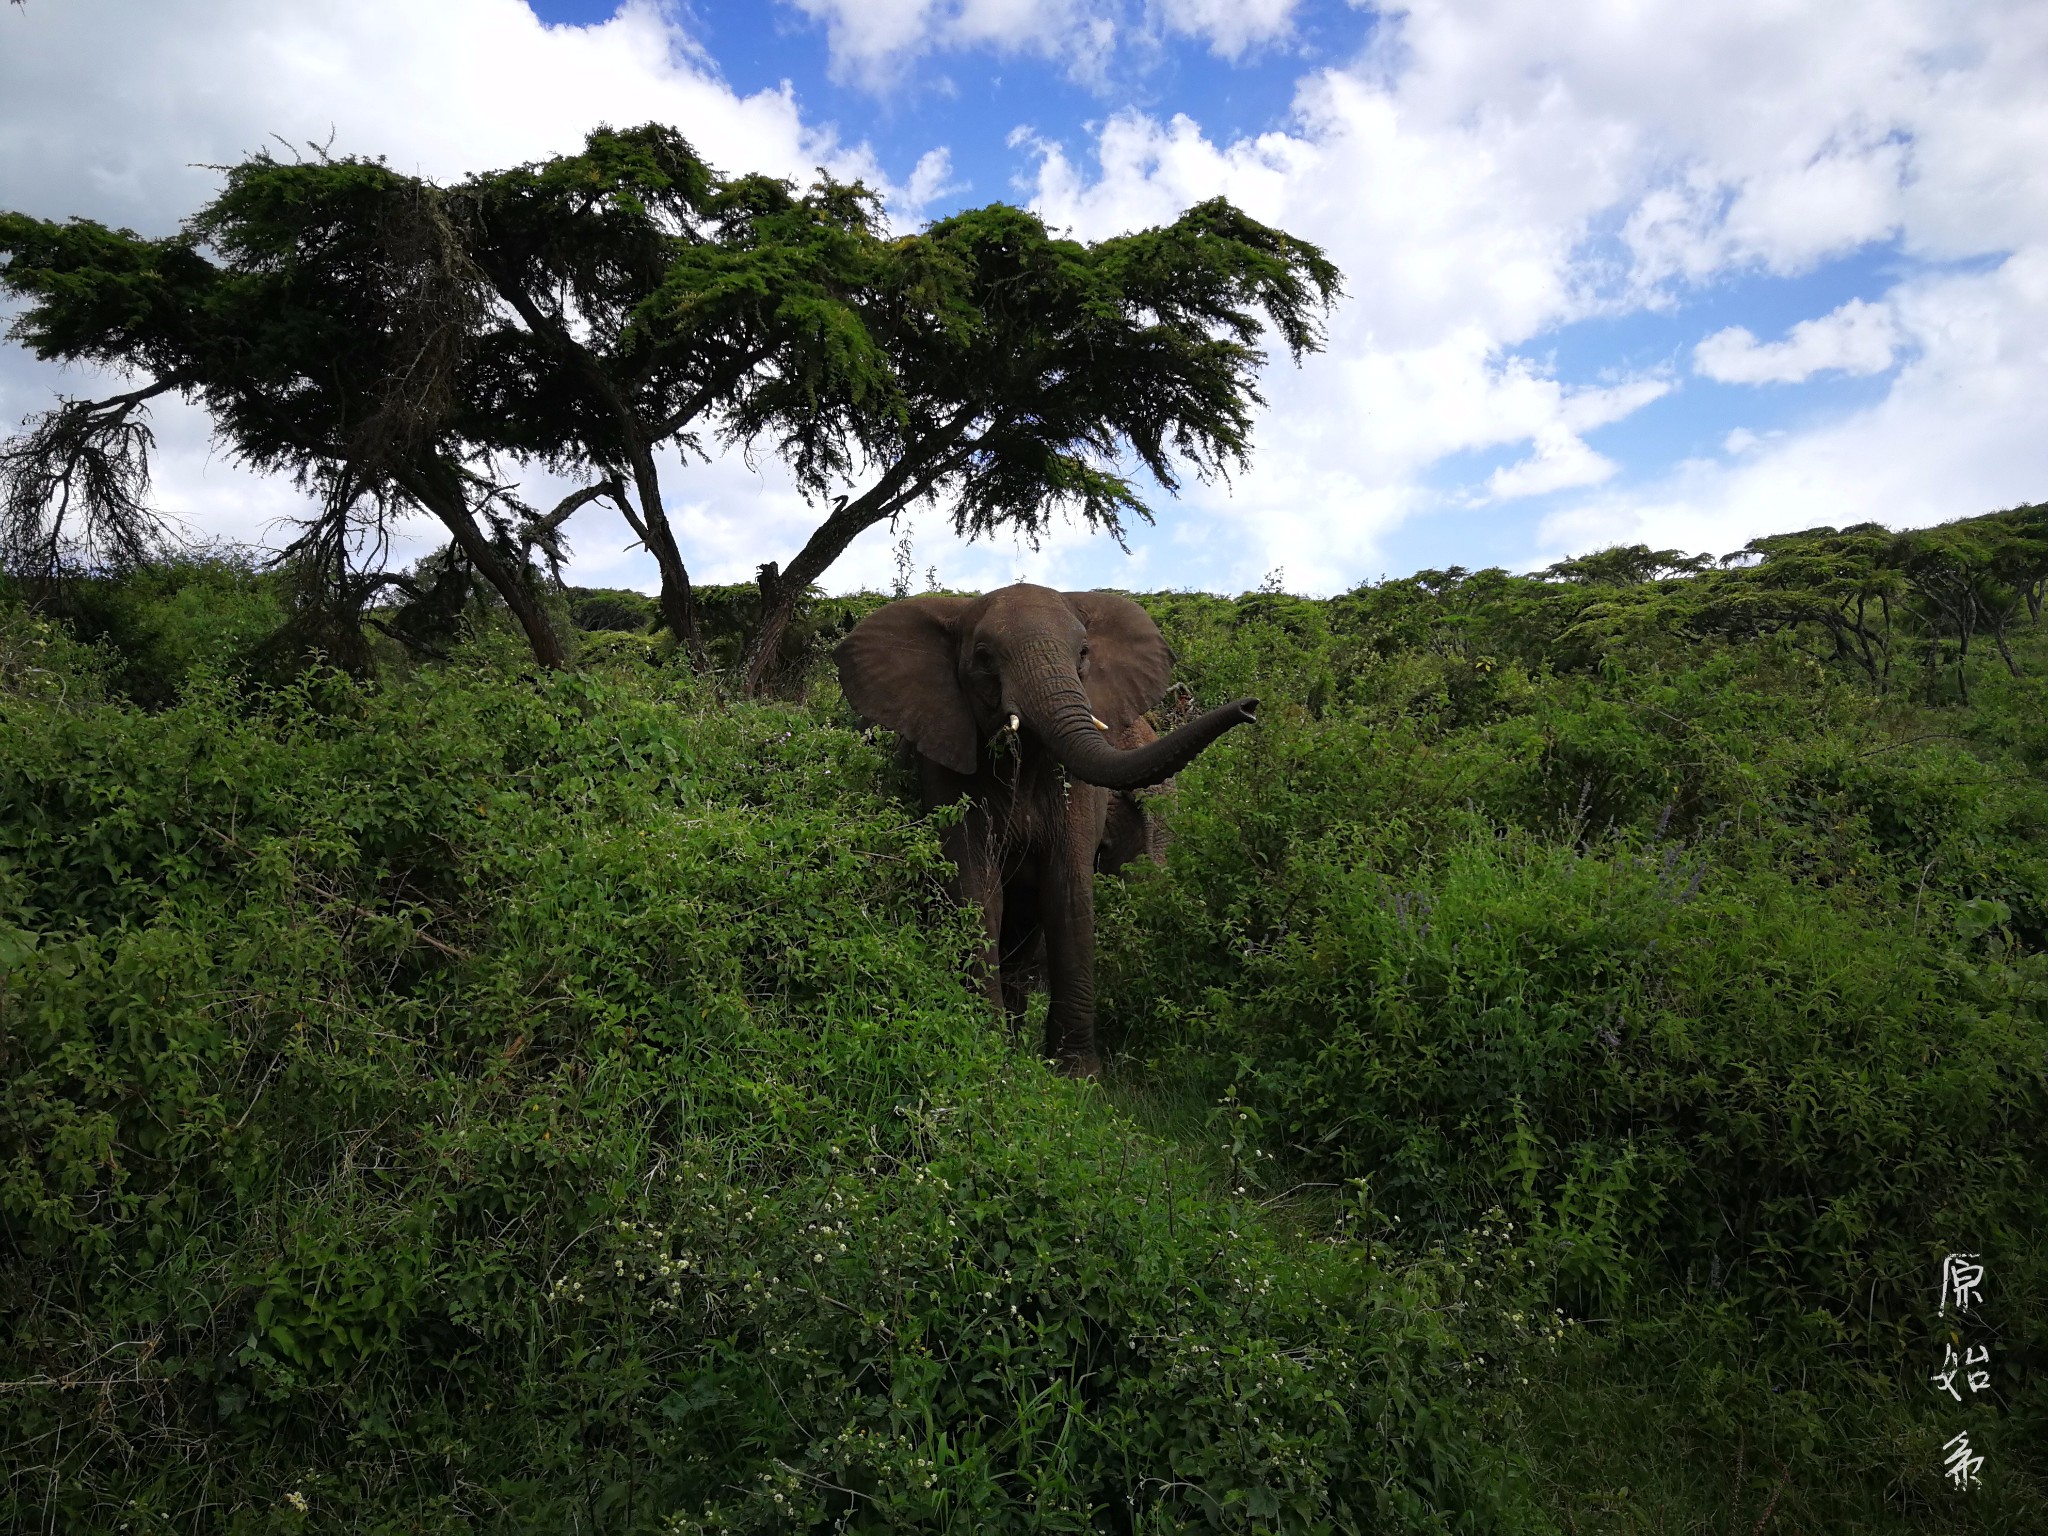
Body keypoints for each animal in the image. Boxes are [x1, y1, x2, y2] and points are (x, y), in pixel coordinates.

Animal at [835, 581, 1253, 1073]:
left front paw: (1076, 1075)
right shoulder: (943, 762)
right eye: (983, 657)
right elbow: (976, 890)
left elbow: (1066, 890)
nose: (1250, 707)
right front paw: (992, 1060)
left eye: (1084, 653)